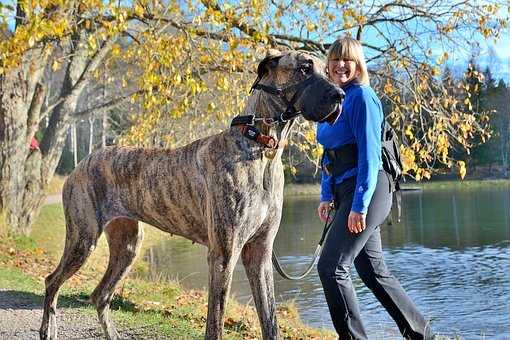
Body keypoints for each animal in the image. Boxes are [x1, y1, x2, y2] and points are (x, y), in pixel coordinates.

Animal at [39, 50, 342, 340]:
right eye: (304, 68)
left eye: (328, 71)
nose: (340, 95)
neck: (260, 147)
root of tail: (82, 163)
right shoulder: (223, 255)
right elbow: (215, 324)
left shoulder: (260, 253)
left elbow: (270, 323)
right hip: (83, 238)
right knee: (52, 280)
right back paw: (48, 329)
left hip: (127, 245)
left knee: (99, 294)